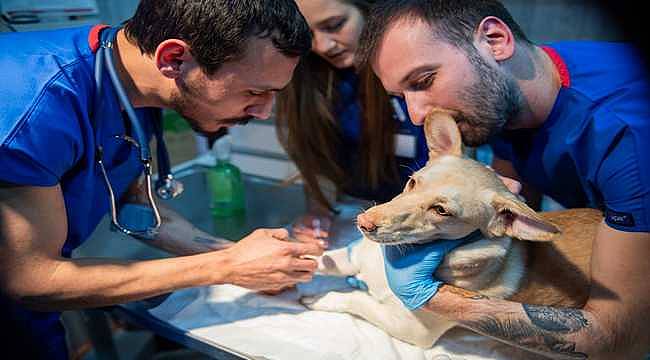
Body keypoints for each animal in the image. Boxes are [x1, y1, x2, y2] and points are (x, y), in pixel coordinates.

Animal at [302, 110, 600, 348]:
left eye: (441, 211)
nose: (364, 221)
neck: (401, 256)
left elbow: (355, 300)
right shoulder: (353, 257)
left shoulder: (411, 328)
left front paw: (319, 297)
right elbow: (319, 259)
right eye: (412, 182)